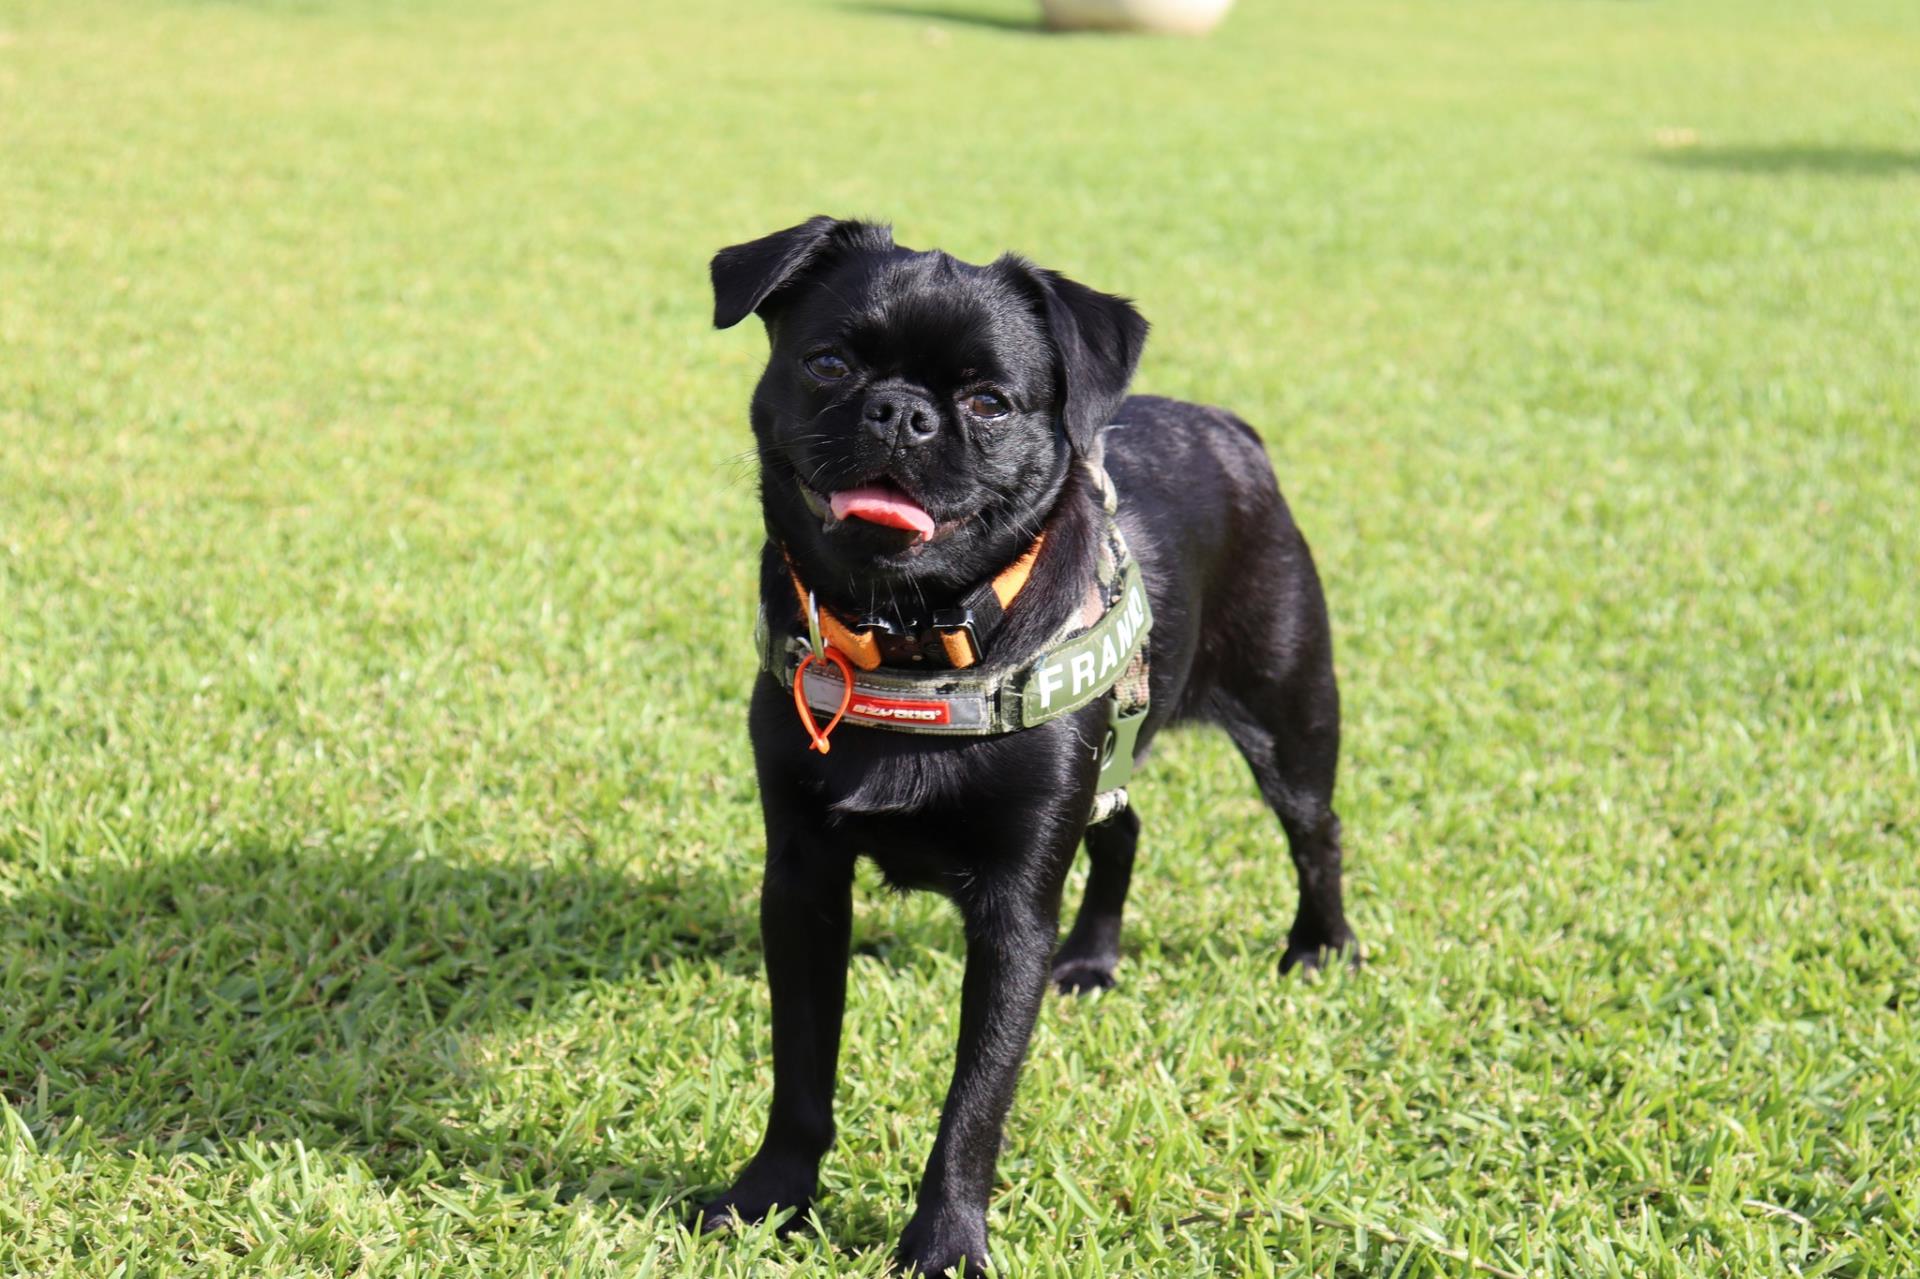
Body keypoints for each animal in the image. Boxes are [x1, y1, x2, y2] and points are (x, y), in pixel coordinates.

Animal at [702, 214, 1351, 1267]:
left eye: (990, 402)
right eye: (828, 363)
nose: (900, 412)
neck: (910, 635)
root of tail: (1229, 427)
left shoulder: (1012, 914)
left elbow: (977, 1097)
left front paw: (944, 1242)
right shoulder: (801, 882)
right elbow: (801, 1061)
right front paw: (771, 1194)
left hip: (1289, 719)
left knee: (1315, 832)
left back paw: (1321, 948)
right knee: (1123, 830)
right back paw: (1090, 959)